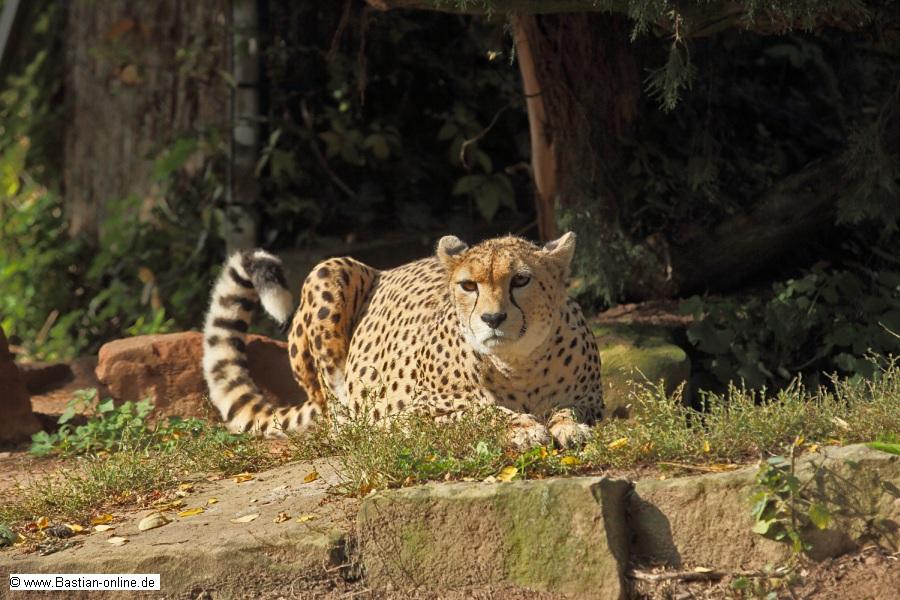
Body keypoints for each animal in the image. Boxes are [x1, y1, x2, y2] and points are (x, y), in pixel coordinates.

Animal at [202, 232, 604, 449]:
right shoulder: (415, 413)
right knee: (338, 416)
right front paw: (525, 428)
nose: (492, 319)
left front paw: (568, 428)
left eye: (520, 280)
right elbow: (482, 410)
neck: (517, 365)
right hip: (330, 270)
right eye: (468, 285)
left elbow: (568, 409)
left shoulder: (590, 400)